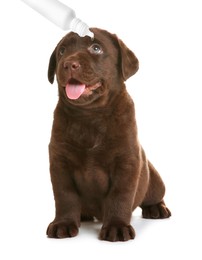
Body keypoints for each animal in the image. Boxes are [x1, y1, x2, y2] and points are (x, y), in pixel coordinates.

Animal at [46, 27, 171, 242]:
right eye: (62, 51)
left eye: (96, 48)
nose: (69, 64)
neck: (89, 116)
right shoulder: (60, 162)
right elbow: (65, 196)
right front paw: (63, 223)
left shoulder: (126, 163)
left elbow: (120, 196)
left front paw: (117, 227)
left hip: (154, 180)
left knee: (155, 195)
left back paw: (157, 208)